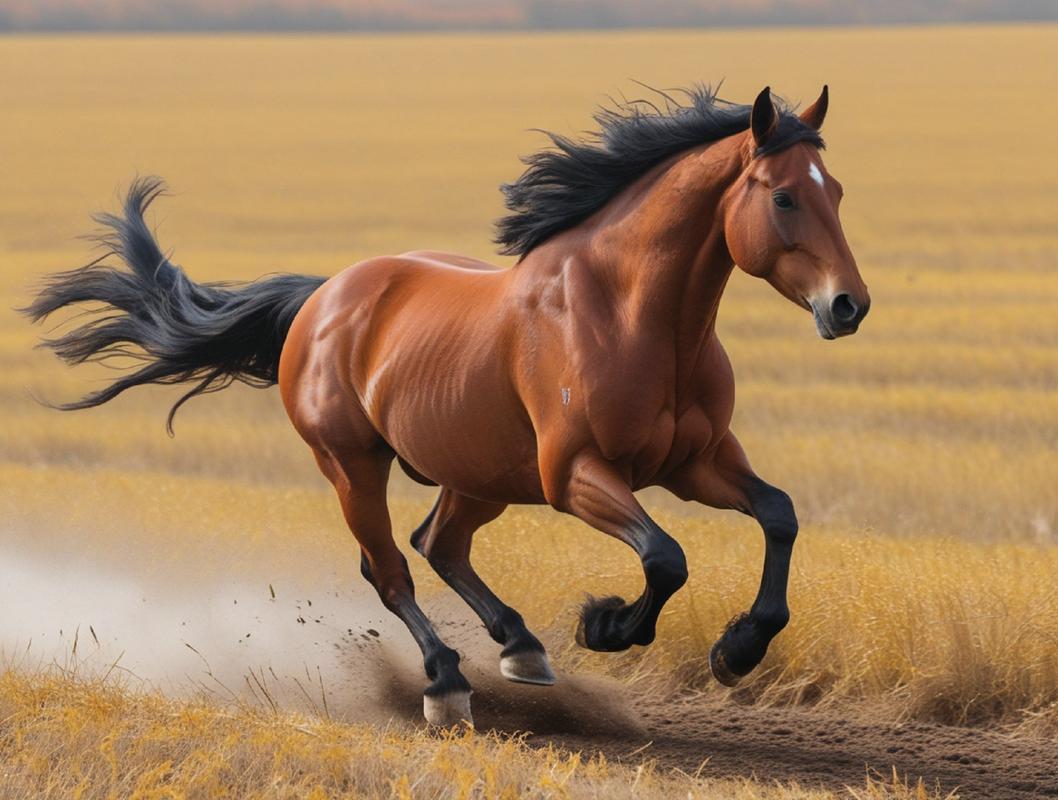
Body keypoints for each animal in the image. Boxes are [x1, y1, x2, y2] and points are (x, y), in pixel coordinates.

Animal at [24, 85, 869, 727]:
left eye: (837, 190)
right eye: (785, 196)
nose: (848, 306)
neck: (636, 319)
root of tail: (321, 299)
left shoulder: (696, 463)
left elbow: (779, 514)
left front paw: (738, 649)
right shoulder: (575, 475)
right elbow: (666, 557)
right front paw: (605, 626)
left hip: (479, 473)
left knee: (441, 543)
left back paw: (520, 648)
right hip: (353, 465)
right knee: (390, 566)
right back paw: (447, 683)